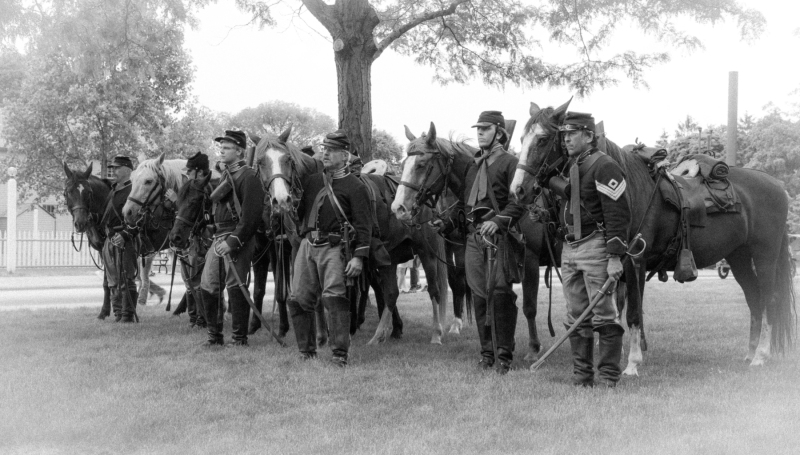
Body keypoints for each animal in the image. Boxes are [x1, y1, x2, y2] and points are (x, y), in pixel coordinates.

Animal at [63, 162, 112, 318]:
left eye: (89, 192)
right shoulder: (103, 252)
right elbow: (107, 282)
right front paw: (105, 311)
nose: (80, 223)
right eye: (67, 193)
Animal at [260, 126, 454, 344]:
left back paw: (435, 333)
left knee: (434, 290)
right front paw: (320, 335)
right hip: (390, 255)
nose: (280, 200)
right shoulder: (297, 250)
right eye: (261, 162)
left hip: (426, 252)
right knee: (391, 293)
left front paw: (327, 334)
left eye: (287, 160)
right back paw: (379, 335)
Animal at [390, 123, 560, 362]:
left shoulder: (529, 260)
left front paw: (533, 349)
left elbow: (528, 306)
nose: (398, 208)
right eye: (404, 163)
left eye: (421, 164)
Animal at [510, 98, 796, 372]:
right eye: (522, 139)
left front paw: (632, 363)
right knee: (754, 300)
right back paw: (750, 354)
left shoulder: (635, 260)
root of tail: (778, 186)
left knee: (769, 300)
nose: (518, 190)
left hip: (764, 258)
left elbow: (633, 313)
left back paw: (760, 356)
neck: (628, 190)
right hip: (739, 258)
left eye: (543, 139)